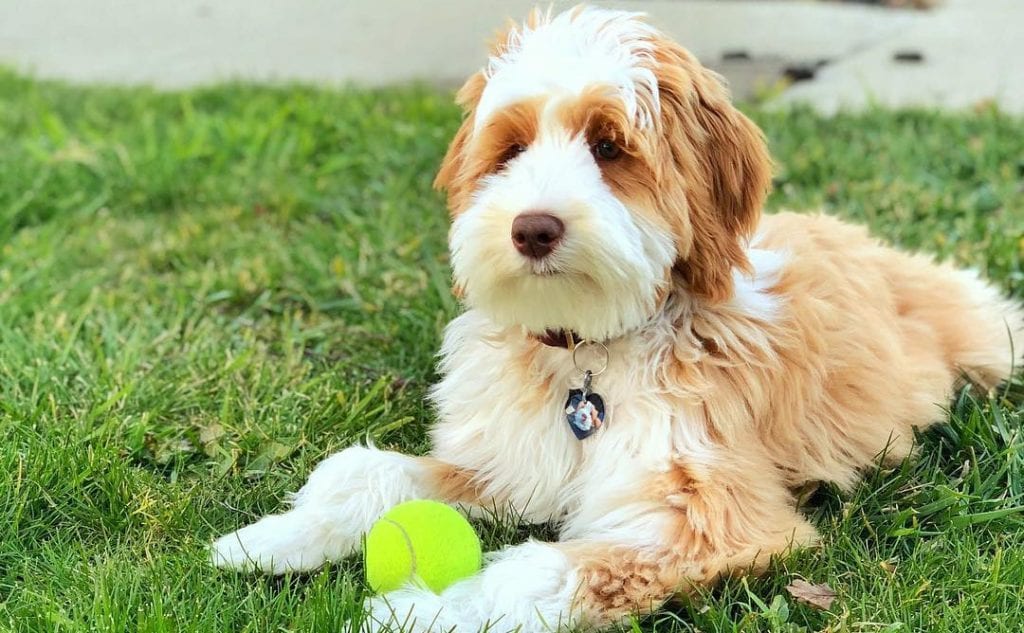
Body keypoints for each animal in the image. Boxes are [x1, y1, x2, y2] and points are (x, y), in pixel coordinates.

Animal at [209, 6, 1024, 630]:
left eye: (609, 146)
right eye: (511, 148)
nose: (532, 228)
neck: (588, 353)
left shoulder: (709, 515)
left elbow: (543, 571)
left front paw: (424, 606)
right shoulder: (511, 462)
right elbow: (364, 472)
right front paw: (269, 538)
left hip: (987, 337)